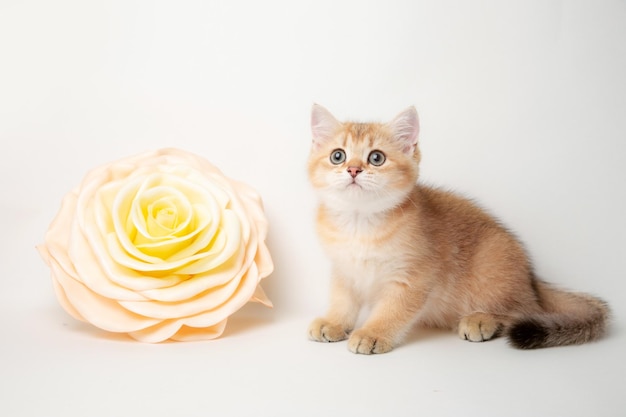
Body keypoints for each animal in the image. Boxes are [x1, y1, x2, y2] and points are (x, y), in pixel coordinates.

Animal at [304, 104, 608, 354]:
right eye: (338, 156)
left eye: (376, 158)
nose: (353, 170)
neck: (359, 223)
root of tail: (531, 279)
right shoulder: (344, 270)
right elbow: (343, 300)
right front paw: (334, 322)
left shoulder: (414, 276)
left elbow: (393, 310)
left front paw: (373, 333)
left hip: (492, 262)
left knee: (522, 311)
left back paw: (481, 320)